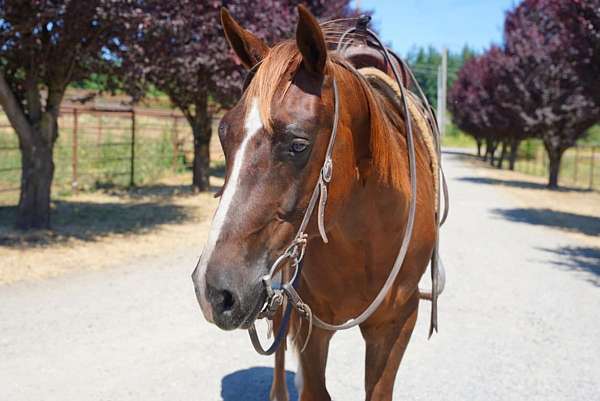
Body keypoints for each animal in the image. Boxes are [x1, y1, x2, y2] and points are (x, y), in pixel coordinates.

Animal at [195, 6, 442, 400]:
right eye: (223, 134)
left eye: (299, 144)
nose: (214, 291)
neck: (367, 235)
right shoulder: (309, 321)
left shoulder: (397, 322)